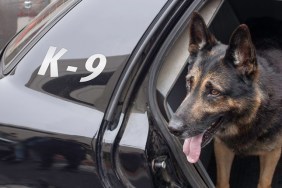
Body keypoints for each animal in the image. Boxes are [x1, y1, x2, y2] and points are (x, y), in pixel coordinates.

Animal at [169, 12, 280, 188]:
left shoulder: (273, 153)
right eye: (189, 83)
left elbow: (264, 182)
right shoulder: (221, 148)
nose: (172, 129)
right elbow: (222, 180)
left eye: (214, 92)